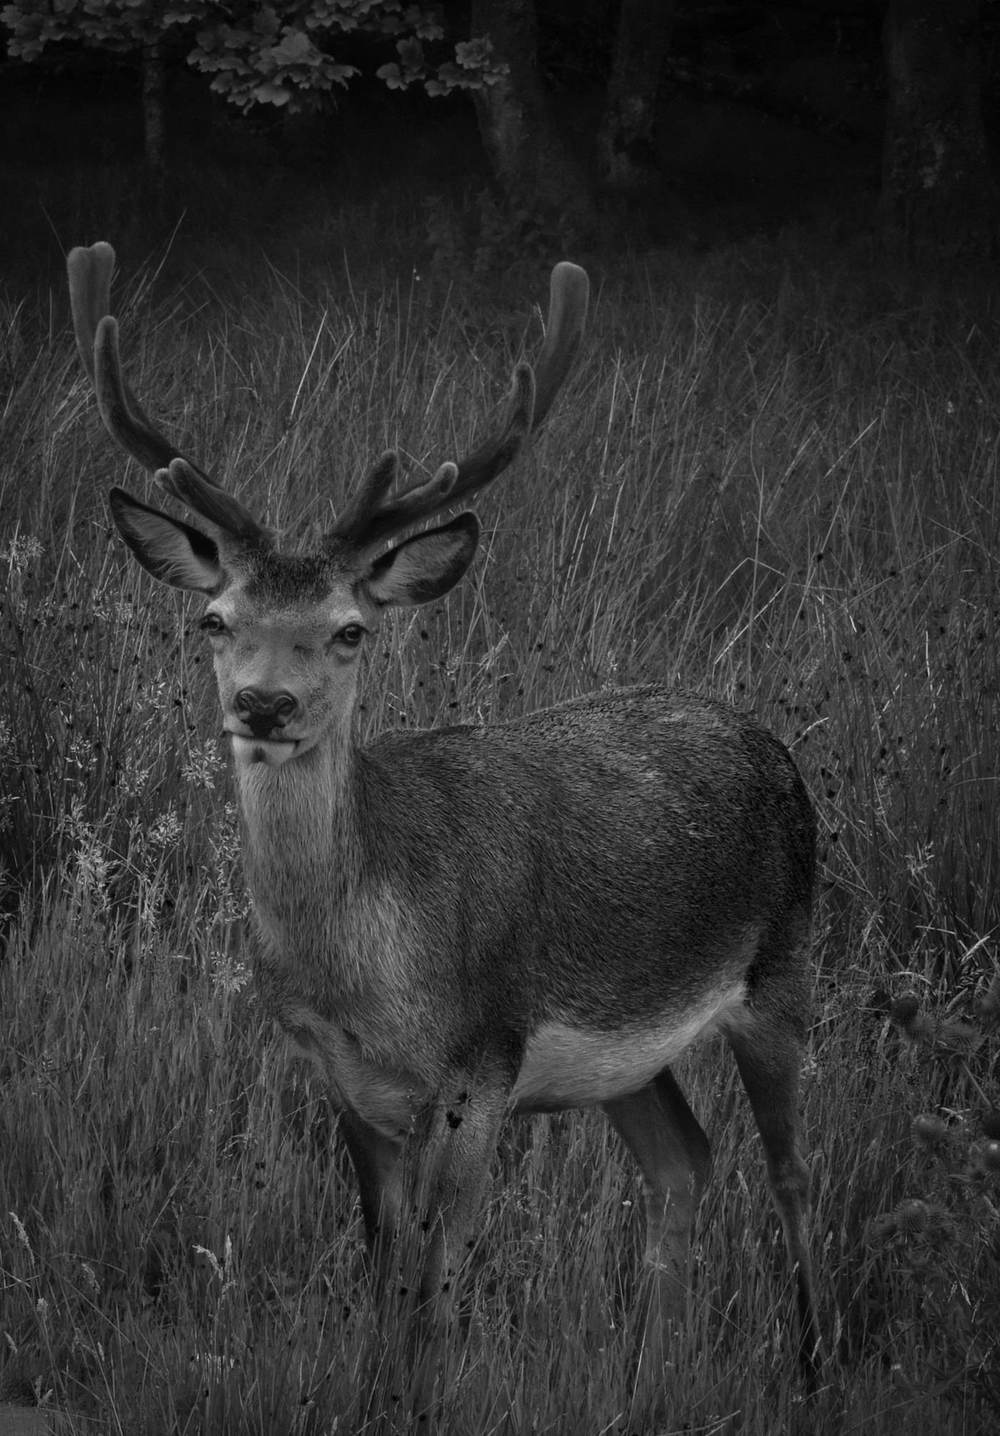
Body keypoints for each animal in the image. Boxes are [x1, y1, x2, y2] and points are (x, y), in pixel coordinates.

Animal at [67, 241, 820, 1405]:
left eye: (349, 629)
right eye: (214, 617)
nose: (264, 704)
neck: (370, 959)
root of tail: (771, 746)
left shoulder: (480, 1061)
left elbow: (437, 1280)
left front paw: (421, 1391)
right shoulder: (343, 1079)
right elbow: (384, 1272)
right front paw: (370, 1395)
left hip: (782, 967)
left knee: (788, 1176)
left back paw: (811, 1368)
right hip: (629, 1059)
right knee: (686, 1166)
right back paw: (647, 1380)